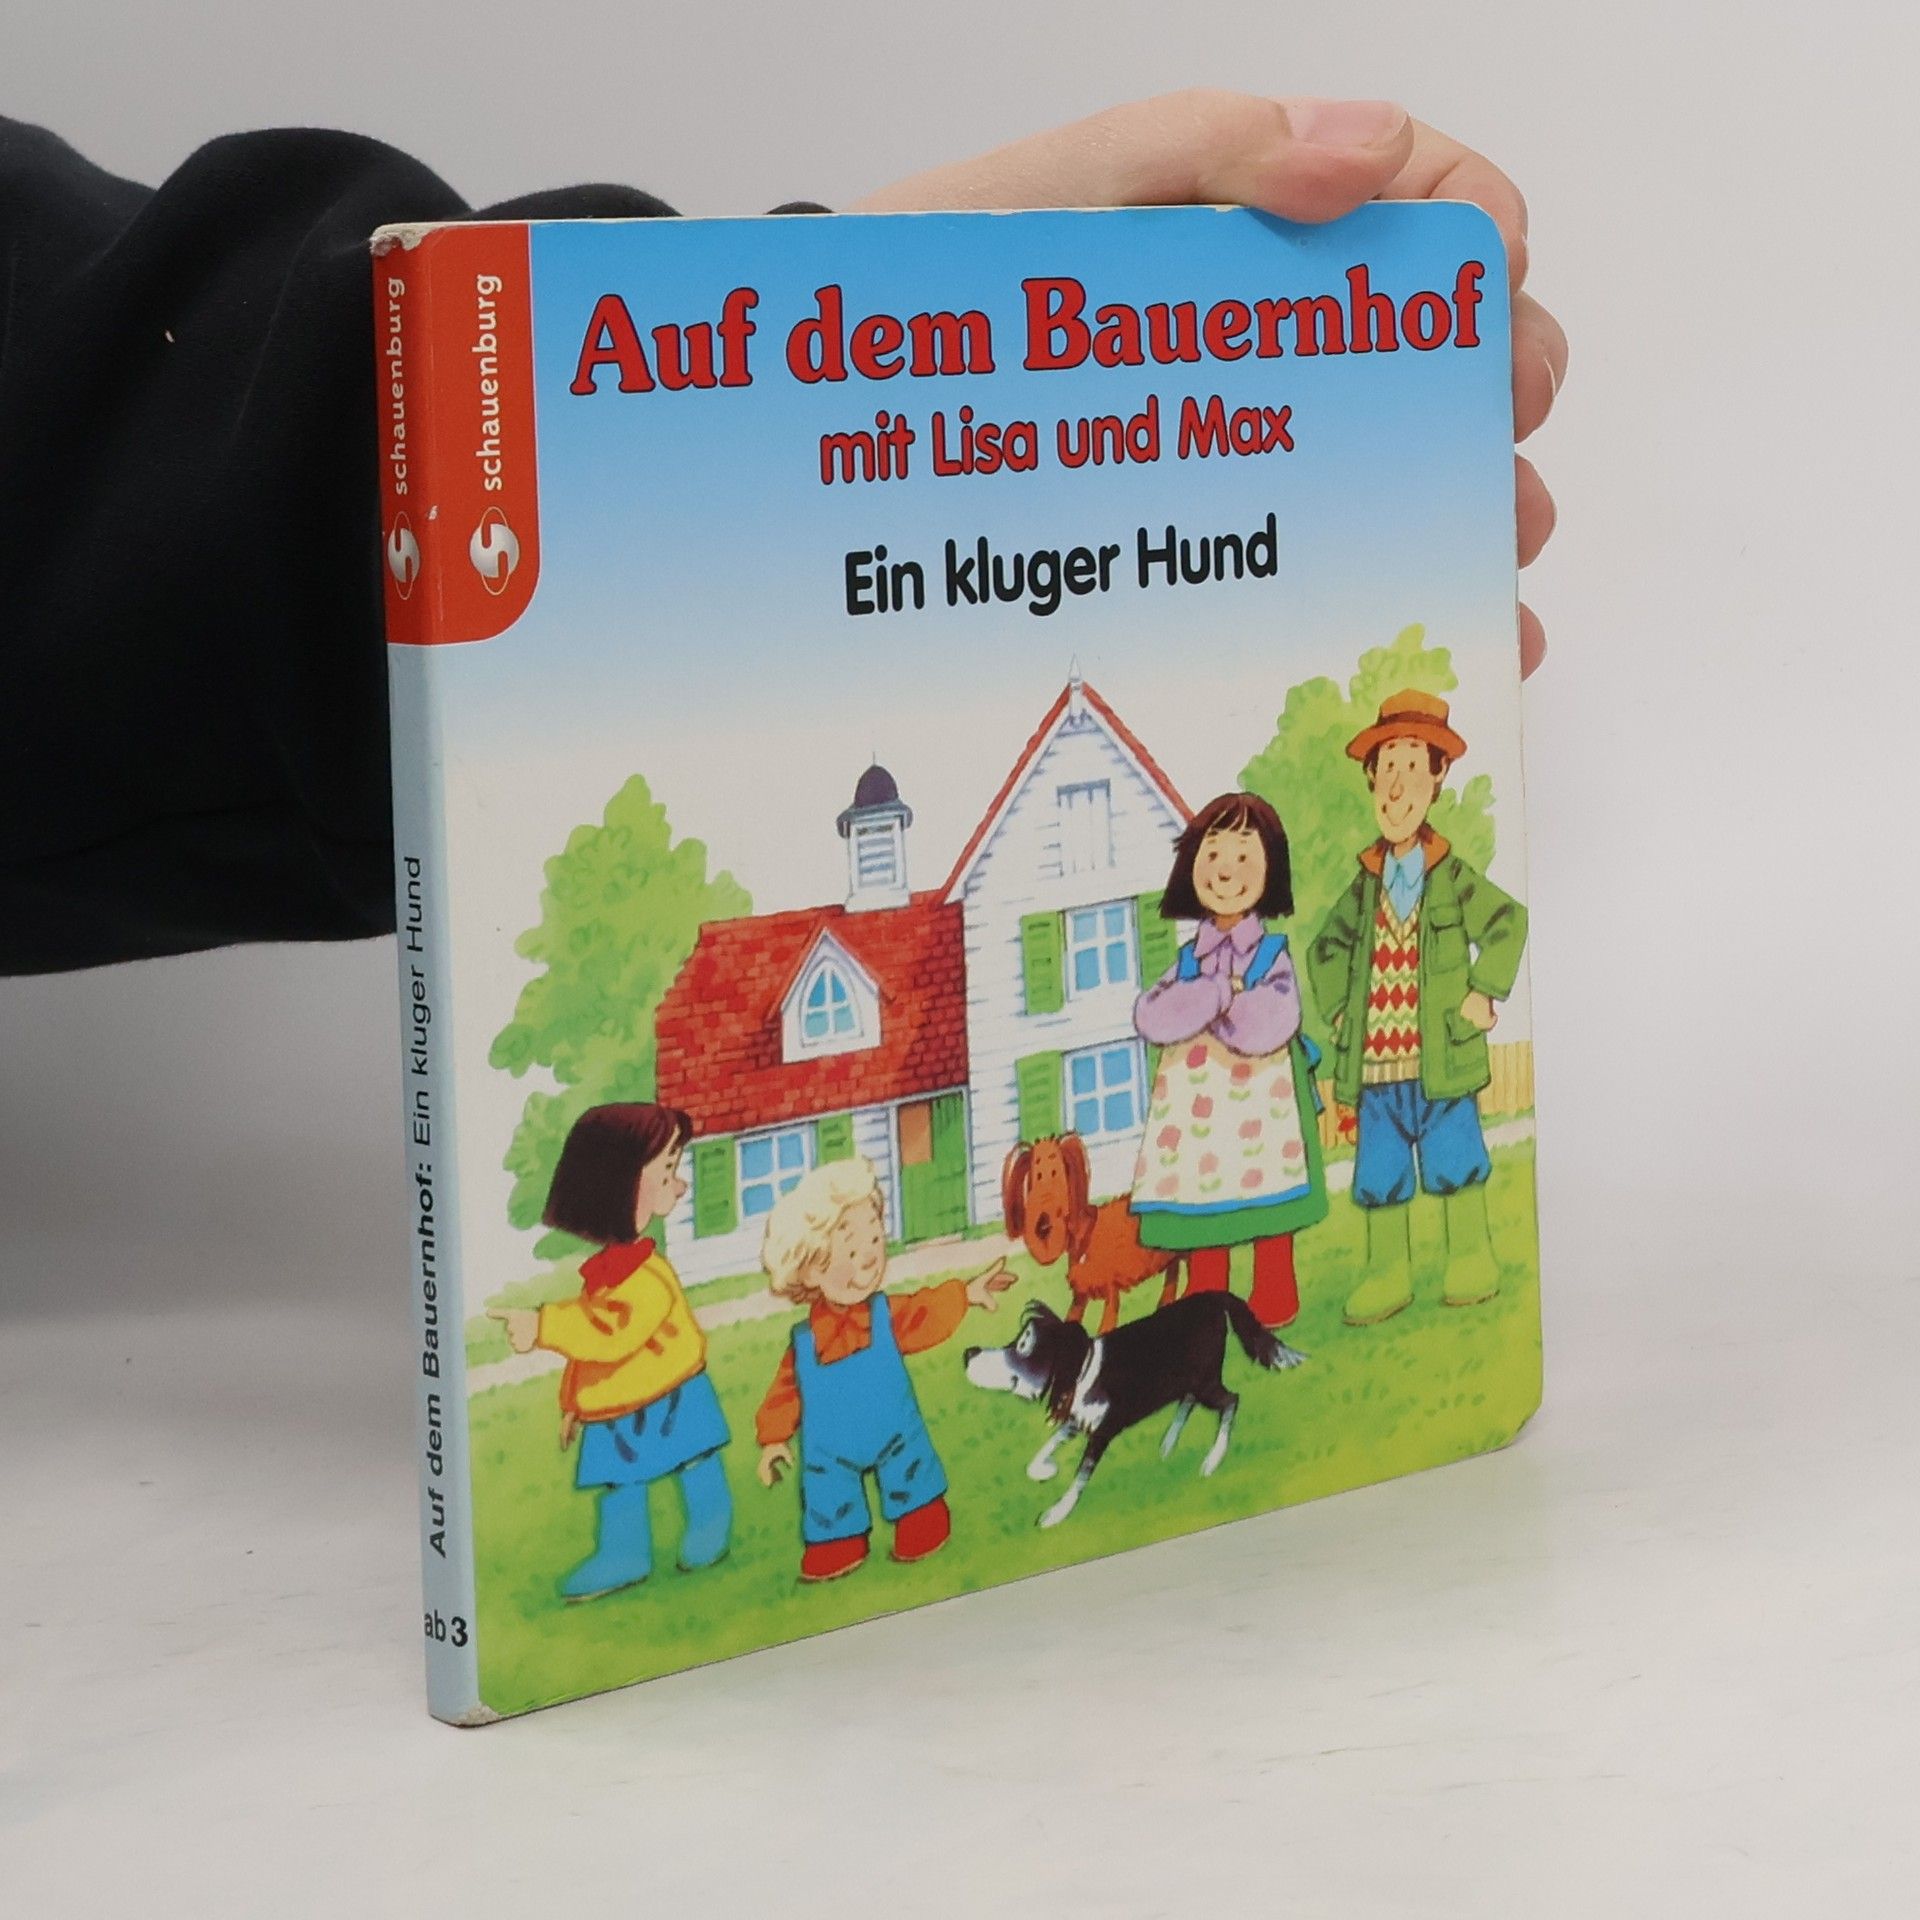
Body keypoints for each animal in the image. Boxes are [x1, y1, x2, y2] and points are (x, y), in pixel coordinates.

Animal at [962, 1293, 1306, 1528]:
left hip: (1204, 1379)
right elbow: (1042, 1453)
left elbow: (1080, 1476)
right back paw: (1168, 1442)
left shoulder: (1102, 1432)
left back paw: (1213, 1458)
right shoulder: (1076, 1420)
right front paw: (1045, 1469)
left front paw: (1057, 1512)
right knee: (1189, 1400)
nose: (968, 1352)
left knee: (1230, 1400)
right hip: (1186, 1377)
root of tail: (1214, 1297)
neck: (1082, 1371)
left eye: (1023, 1345)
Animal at [1002, 1134, 1181, 1336]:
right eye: (1034, 1178)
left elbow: (1107, 1324)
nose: (1043, 1225)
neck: (1087, 1233)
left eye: (1056, 1172)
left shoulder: (1111, 1287)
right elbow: (1072, 1317)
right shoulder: (1080, 1294)